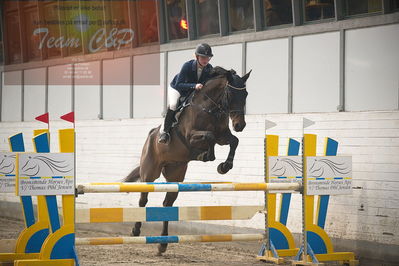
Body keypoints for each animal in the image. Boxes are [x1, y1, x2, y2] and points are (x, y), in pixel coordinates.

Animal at [123, 66, 252, 254]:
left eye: (246, 94)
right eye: (230, 94)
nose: (239, 125)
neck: (210, 108)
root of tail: (151, 135)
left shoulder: (223, 136)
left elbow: (233, 141)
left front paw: (224, 166)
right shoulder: (191, 136)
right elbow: (210, 136)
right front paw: (206, 155)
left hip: (175, 175)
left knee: (167, 204)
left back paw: (162, 244)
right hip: (149, 172)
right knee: (143, 199)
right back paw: (135, 230)